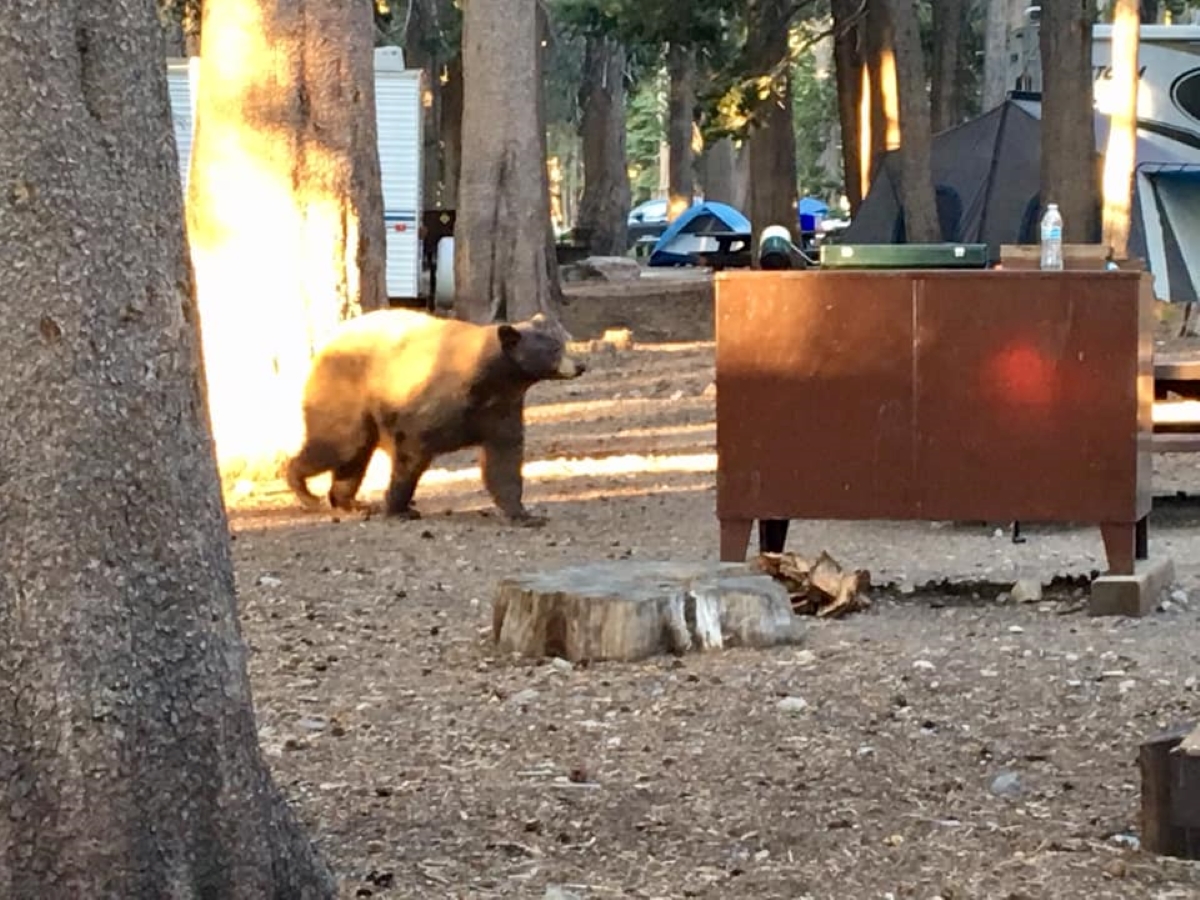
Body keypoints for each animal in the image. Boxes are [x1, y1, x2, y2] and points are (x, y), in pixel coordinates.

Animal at [285, 309, 585, 525]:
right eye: (554, 349)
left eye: (564, 341)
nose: (580, 365)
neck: (491, 380)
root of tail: (325, 344)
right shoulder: (431, 407)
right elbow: (412, 451)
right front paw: (399, 508)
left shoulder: (502, 409)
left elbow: (504, 459)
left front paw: (524, 514)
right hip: (346, 395)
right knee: (339, 444)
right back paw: (306, 492)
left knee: (354, 455)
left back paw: (351, 503)